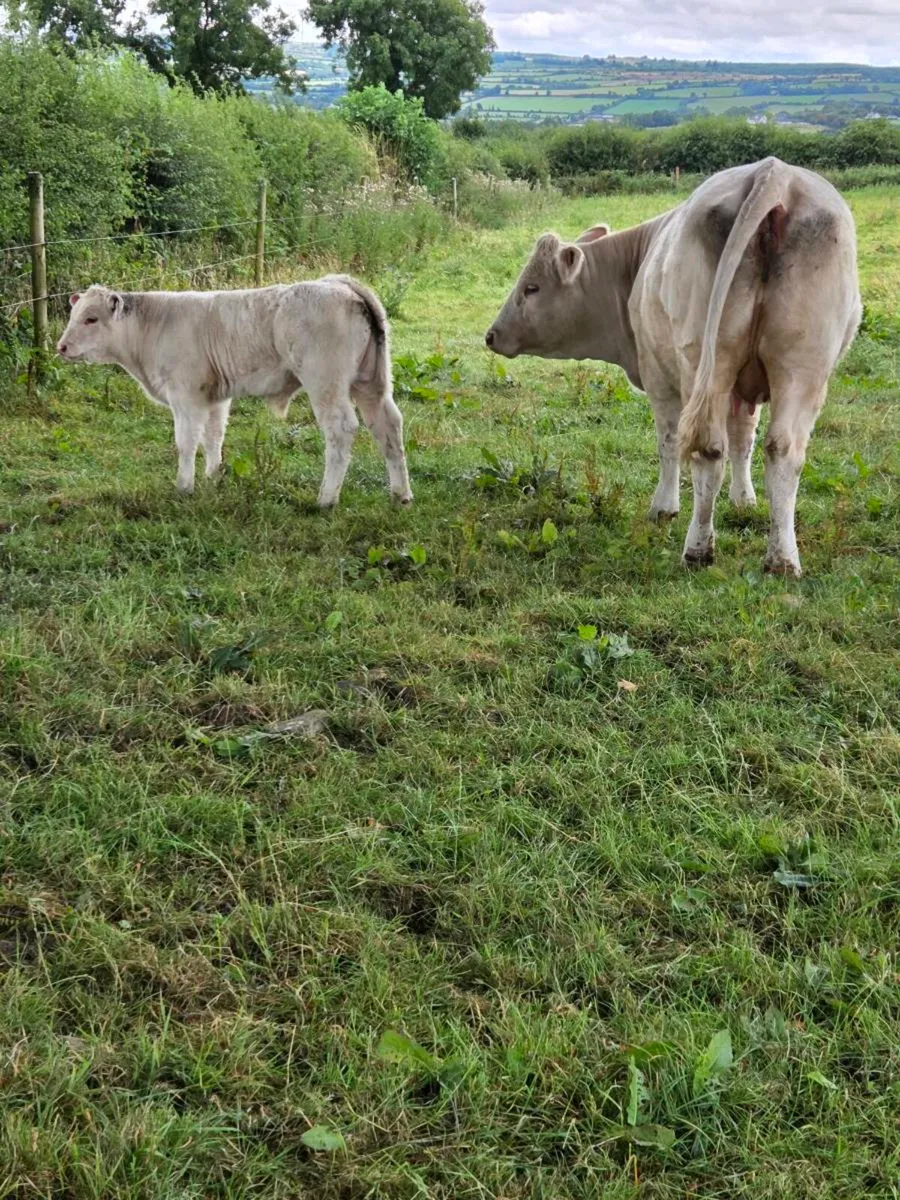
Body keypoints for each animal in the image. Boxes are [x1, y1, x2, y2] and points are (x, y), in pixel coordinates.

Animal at [57, 277, 413, 509]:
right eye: (73, 316)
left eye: (91, 319)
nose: (61, 347)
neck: (152, 328)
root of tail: (341, 284)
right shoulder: (215, 397)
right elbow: (213, 437)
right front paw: (213, 477)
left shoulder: (185, 396)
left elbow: (186, 442)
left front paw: (184, 487)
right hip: (372, 384)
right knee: (389, 427)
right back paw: (401, 495)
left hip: (326, 382)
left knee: (341, 430)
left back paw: (326, 499)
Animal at [485, 157, 861, 577]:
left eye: (532, 287)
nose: (492, 335)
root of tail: (775, 173)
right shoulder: (744, 389)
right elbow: (743, 439)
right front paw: (744, 500)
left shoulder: (657, 377)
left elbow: (667, 442)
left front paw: (664, 508)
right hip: (802, 367)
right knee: (782, 449)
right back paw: (781, 559)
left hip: (703, 361)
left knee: (707, 447)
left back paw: (698, 549)